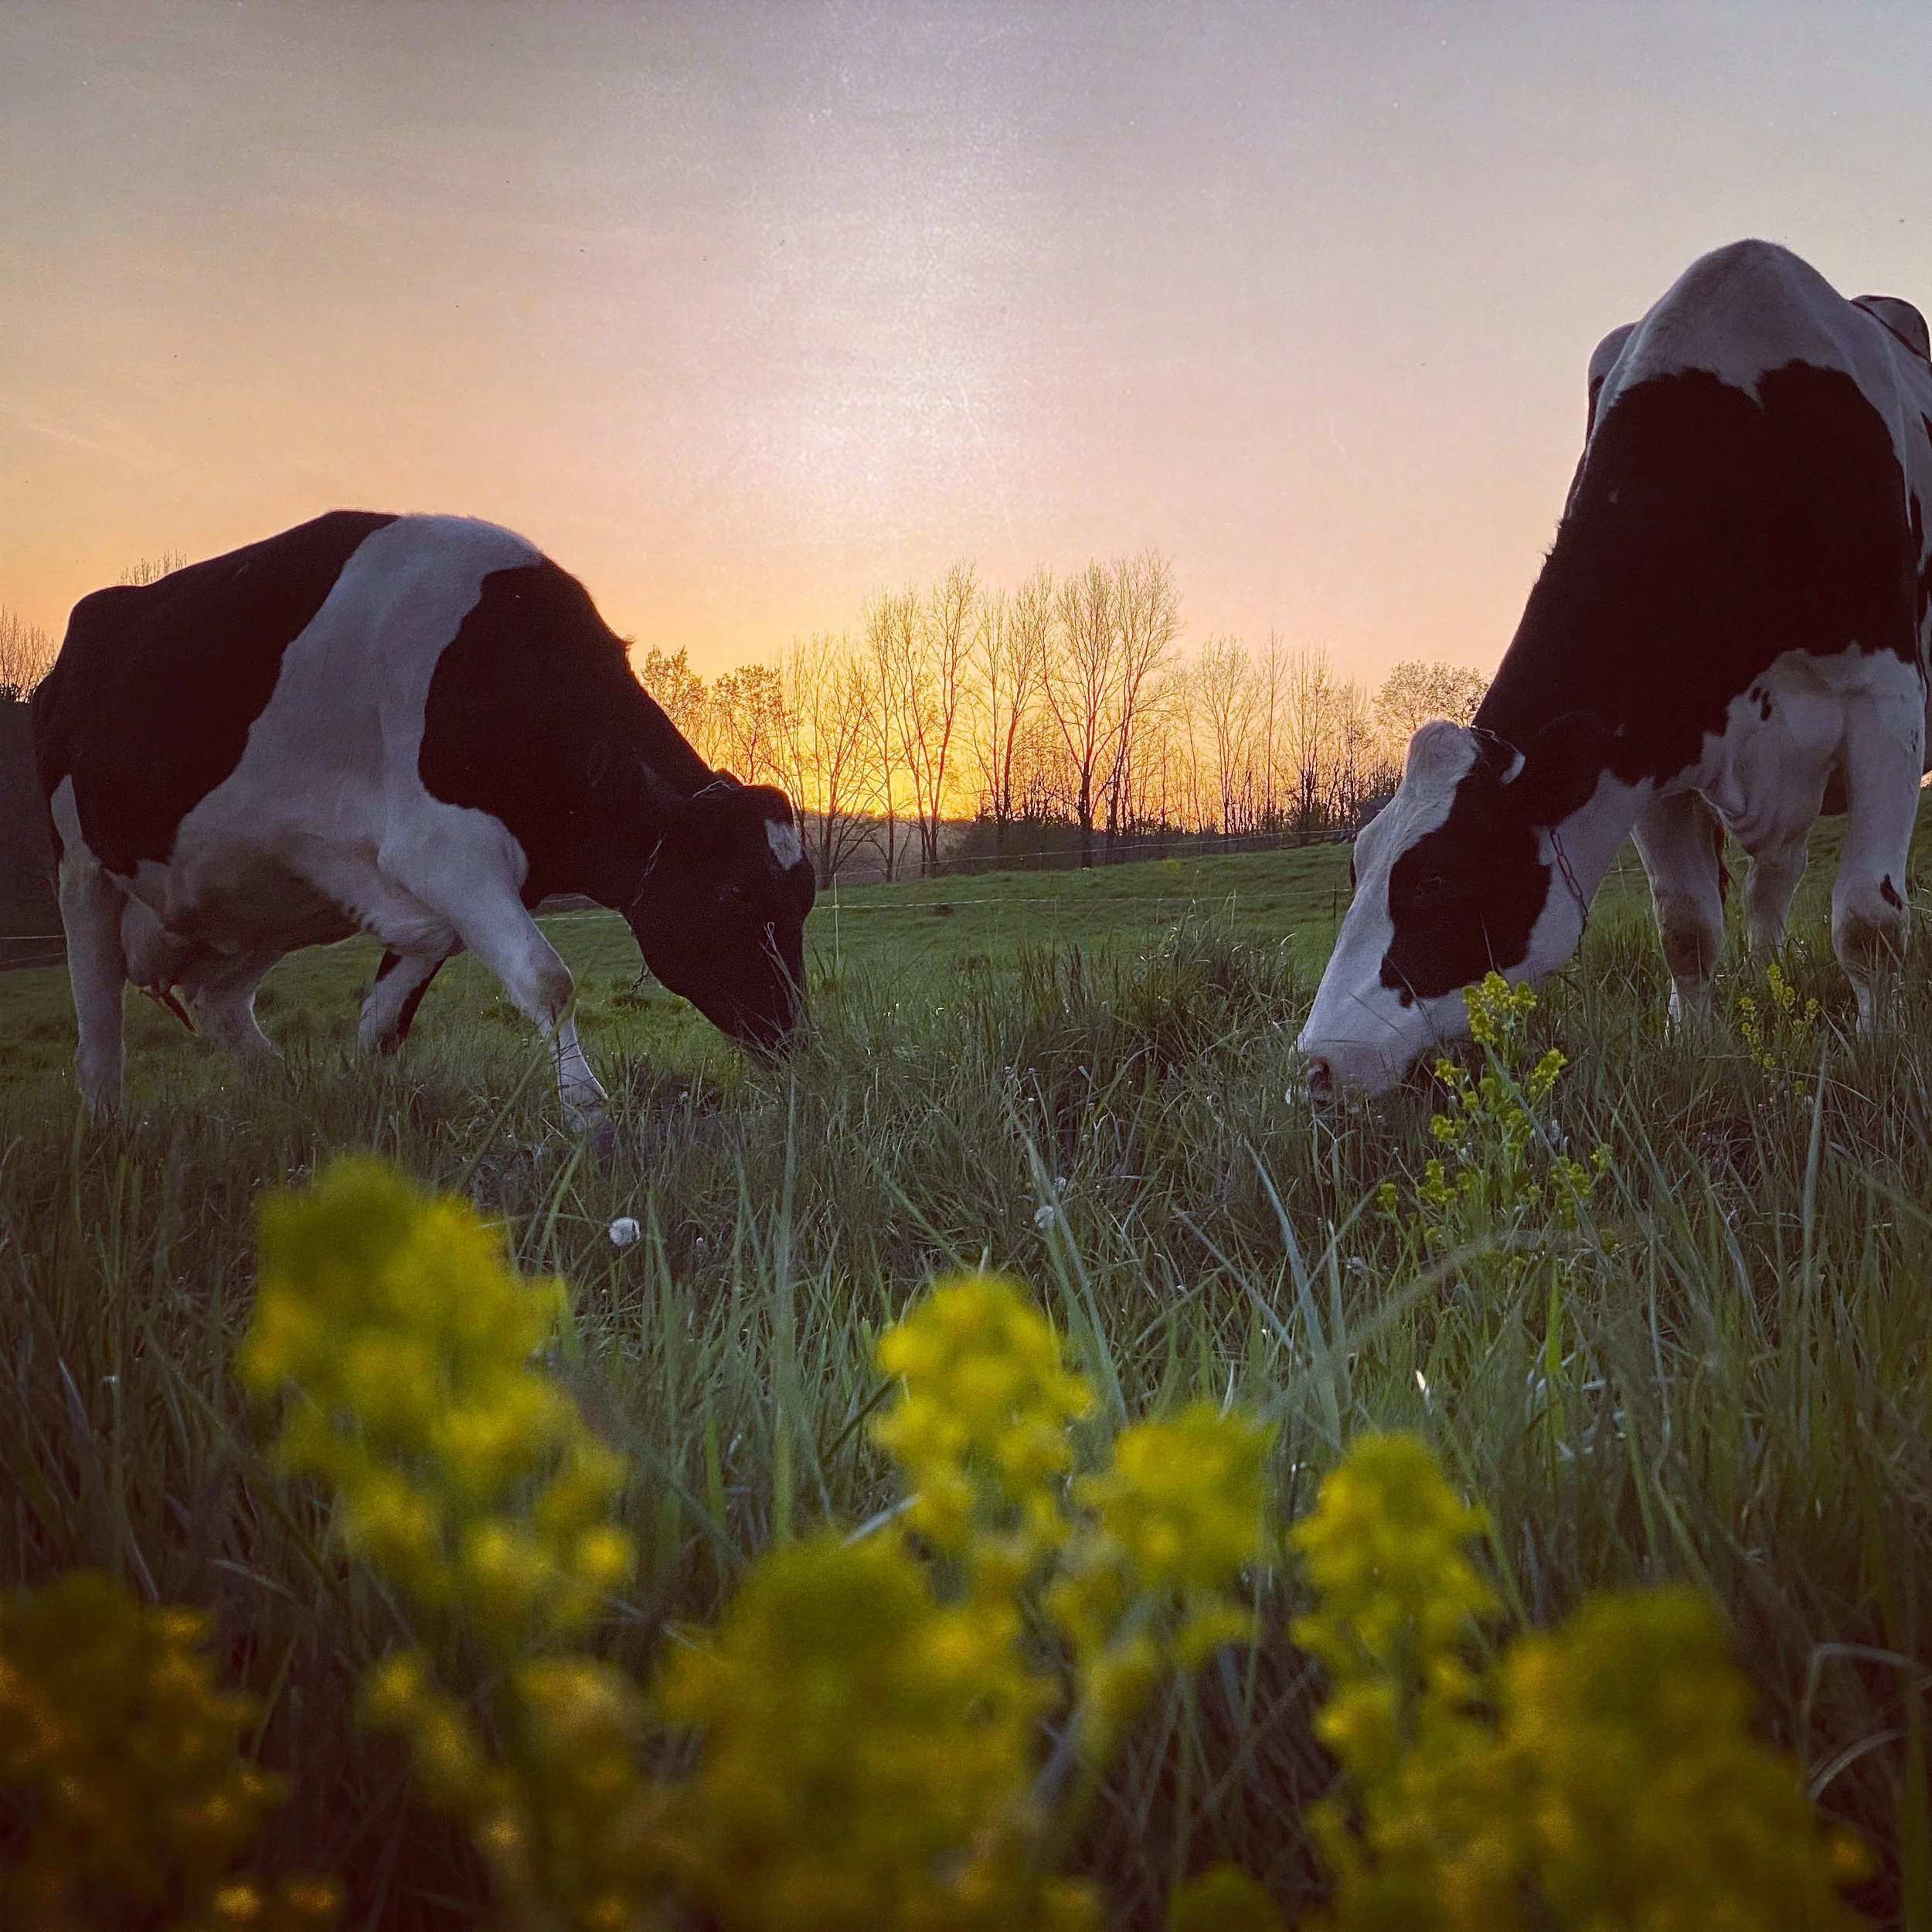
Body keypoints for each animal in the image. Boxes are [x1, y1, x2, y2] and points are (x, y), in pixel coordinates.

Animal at [32, 512, 817, 1125]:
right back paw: (107, 1135)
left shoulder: (432, 885)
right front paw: (588, 1114)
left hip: (255, 900)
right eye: (737, 893)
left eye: (802, 901)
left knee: (218, 1002)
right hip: (81, 867)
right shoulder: (443, 850)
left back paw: (290, 1100)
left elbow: (385, 1021)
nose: (793, 1039)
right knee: (97, 1032)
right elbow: (548, 981)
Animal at [1299, 240, 1932, 1097]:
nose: (1318, 1063)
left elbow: (1868, 919)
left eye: (1434, 879)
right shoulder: (1653, 747)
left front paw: (1875, 1052)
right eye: (1359, 864)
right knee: (1769, 886)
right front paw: (1695, 1047)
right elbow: (1687, 926)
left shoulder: (1886, 703)